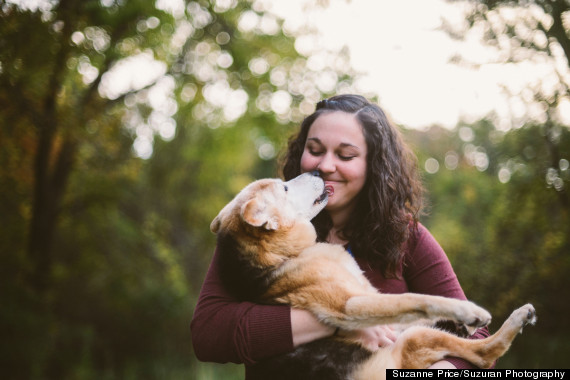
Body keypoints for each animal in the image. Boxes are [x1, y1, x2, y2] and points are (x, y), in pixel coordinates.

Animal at [211, 173, 536, 380]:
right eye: (285, 189)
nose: (316, 170)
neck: (284, 256)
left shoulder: (370, 294)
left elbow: (410, 309)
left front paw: (460, 321)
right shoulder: (351, 306)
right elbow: (415, 299)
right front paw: (465, 312)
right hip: (411, 342)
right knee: (485, 353)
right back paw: (512, 318)